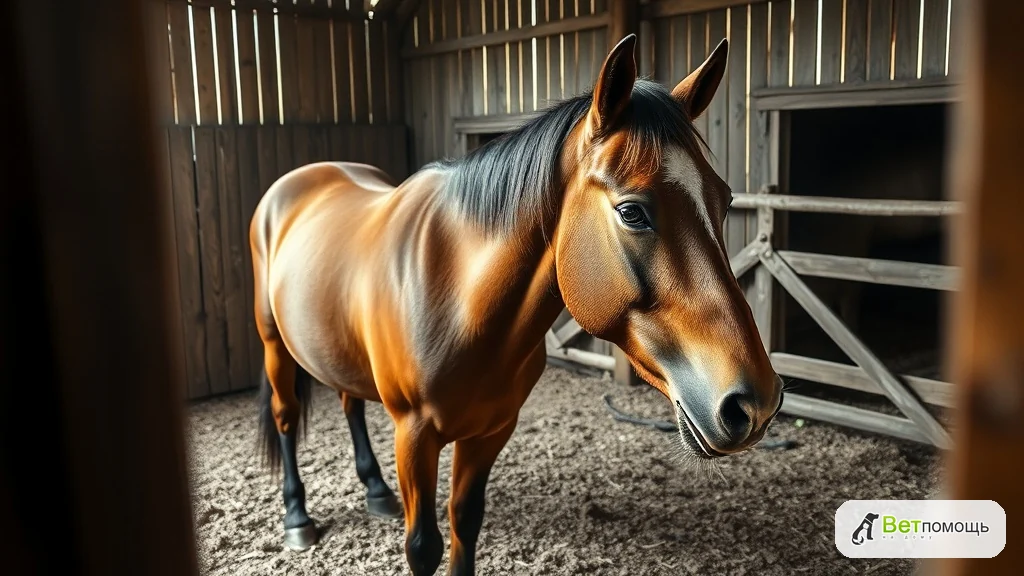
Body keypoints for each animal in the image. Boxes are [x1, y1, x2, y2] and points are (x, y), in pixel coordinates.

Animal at [249, 34, 783, 576]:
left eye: (724, 201)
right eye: (632, 212)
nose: (755, 403)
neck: (458, 302)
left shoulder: (490, 432)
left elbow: (465, 520)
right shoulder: (413, 435)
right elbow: (423, 546)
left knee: (349, 401)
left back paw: (376, 491)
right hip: (273, 346)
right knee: (286, 415)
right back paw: (297, 517)